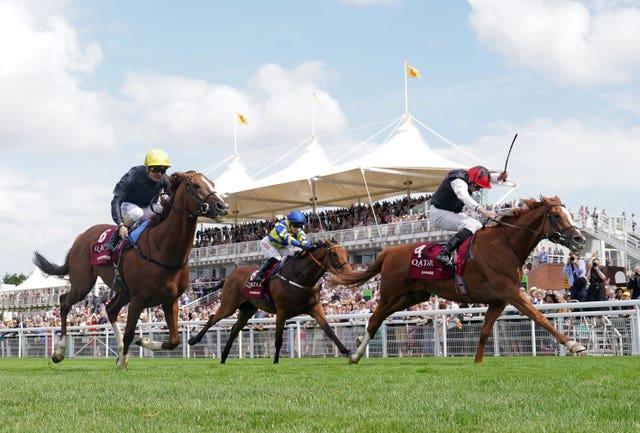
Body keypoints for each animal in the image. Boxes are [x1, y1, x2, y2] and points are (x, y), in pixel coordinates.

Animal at [32, 171, 229, 368]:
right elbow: (129, 333)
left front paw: (142, 342)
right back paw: (59, 351)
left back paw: (120, 352)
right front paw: (123, 360)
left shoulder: (170, 300)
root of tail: (80, 238)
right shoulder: (138, 299)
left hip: (122, 291)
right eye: (196, 185)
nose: (223, 206)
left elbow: (174, 340)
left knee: (110, 309)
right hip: (83, 283)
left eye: (212, 183)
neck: (162, 249)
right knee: (65, 301)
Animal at [188, 238, 352, 362]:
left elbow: (329, 330)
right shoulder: (282, 310)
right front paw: (275, 361)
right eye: (334, 254)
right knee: (212, 318)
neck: (299, 276)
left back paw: (223, 357)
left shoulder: (314, 307)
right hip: (229, 305)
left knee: (234, 329)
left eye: (346, 253)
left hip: (247, 309)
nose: (349, 272)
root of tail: (228, 277)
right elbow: (278, 338)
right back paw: (193, 340)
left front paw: (347, 351)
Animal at [332, 197, 588, 362]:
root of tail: (390, 251)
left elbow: (484, 332)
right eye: (556, 215)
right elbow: (538, 316)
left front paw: (477, 364)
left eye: (570, 215)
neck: (504, 245)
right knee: (375, 318)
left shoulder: (499, 300)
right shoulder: (510, 292)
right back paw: (355, 355)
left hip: (413, 296)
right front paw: (574, 345)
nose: (579, 239)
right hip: (390, 293)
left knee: (380, 317)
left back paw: (356, 346)